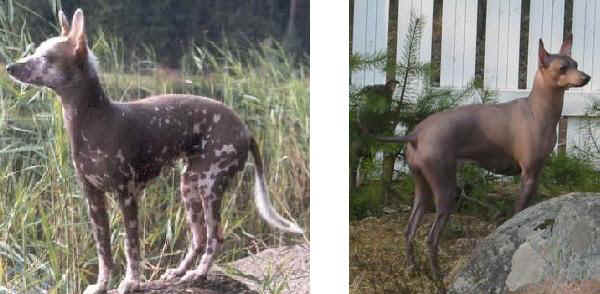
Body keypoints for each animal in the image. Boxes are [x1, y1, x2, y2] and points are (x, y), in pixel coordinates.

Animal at [4, 8, 302, 294]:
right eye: (36, 51)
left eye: (47, 57)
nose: (9, 67)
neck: (94, 120)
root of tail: (246, 130)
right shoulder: (93, 198)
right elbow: (104, 250)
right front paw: (102, 285)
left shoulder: (126, 196)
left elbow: (131, 246)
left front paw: (132, 282)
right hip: (189, 184)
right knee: (198, 238)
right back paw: (179, 273)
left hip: (209, 186)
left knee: (215, 237)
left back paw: (198, 274)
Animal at [380, 35, 592, 292]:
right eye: (562, 68)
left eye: (576, 63)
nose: (586, 77)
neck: (538, 110)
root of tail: (416, 134)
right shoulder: (528, 174)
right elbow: (518, 211)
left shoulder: (537, 174)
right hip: (446, 189)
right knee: (430, 239)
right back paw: (438, 279)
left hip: (422, 188)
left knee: (409, 230)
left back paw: (412, 269)